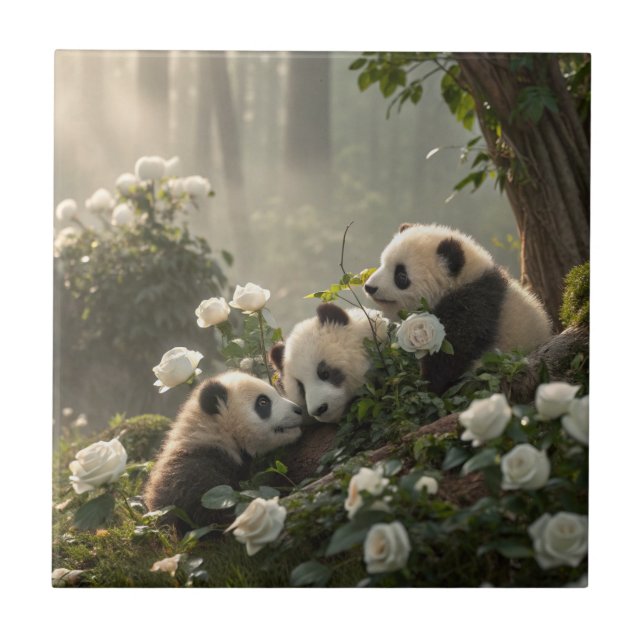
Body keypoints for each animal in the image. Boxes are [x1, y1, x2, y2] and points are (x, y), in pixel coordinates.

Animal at [364, 223, 552, 394]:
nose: (369, 287)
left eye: (401, 276)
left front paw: (426, 385)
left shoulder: (471, 308)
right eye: (383, 264)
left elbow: (451, 357)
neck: (462, 280)